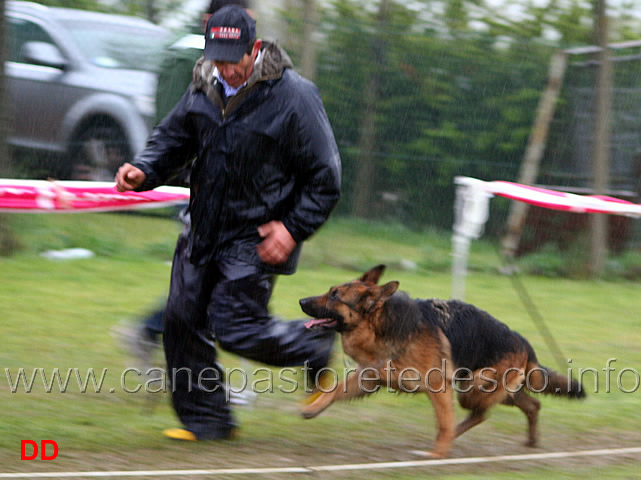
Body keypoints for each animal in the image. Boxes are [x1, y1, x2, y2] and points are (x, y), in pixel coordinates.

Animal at [298, 266, 584, 458]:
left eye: (335, 296)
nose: (301, 300)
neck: (382, 326)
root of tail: (524, 342)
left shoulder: (438, 387)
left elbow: (443, 422)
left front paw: (437, 455)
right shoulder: (369, 378)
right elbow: (334, 390)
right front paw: (313, 408)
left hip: (471, 389)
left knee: (481, 413)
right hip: (489, 390)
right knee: (531, 404)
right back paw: (530, 441)